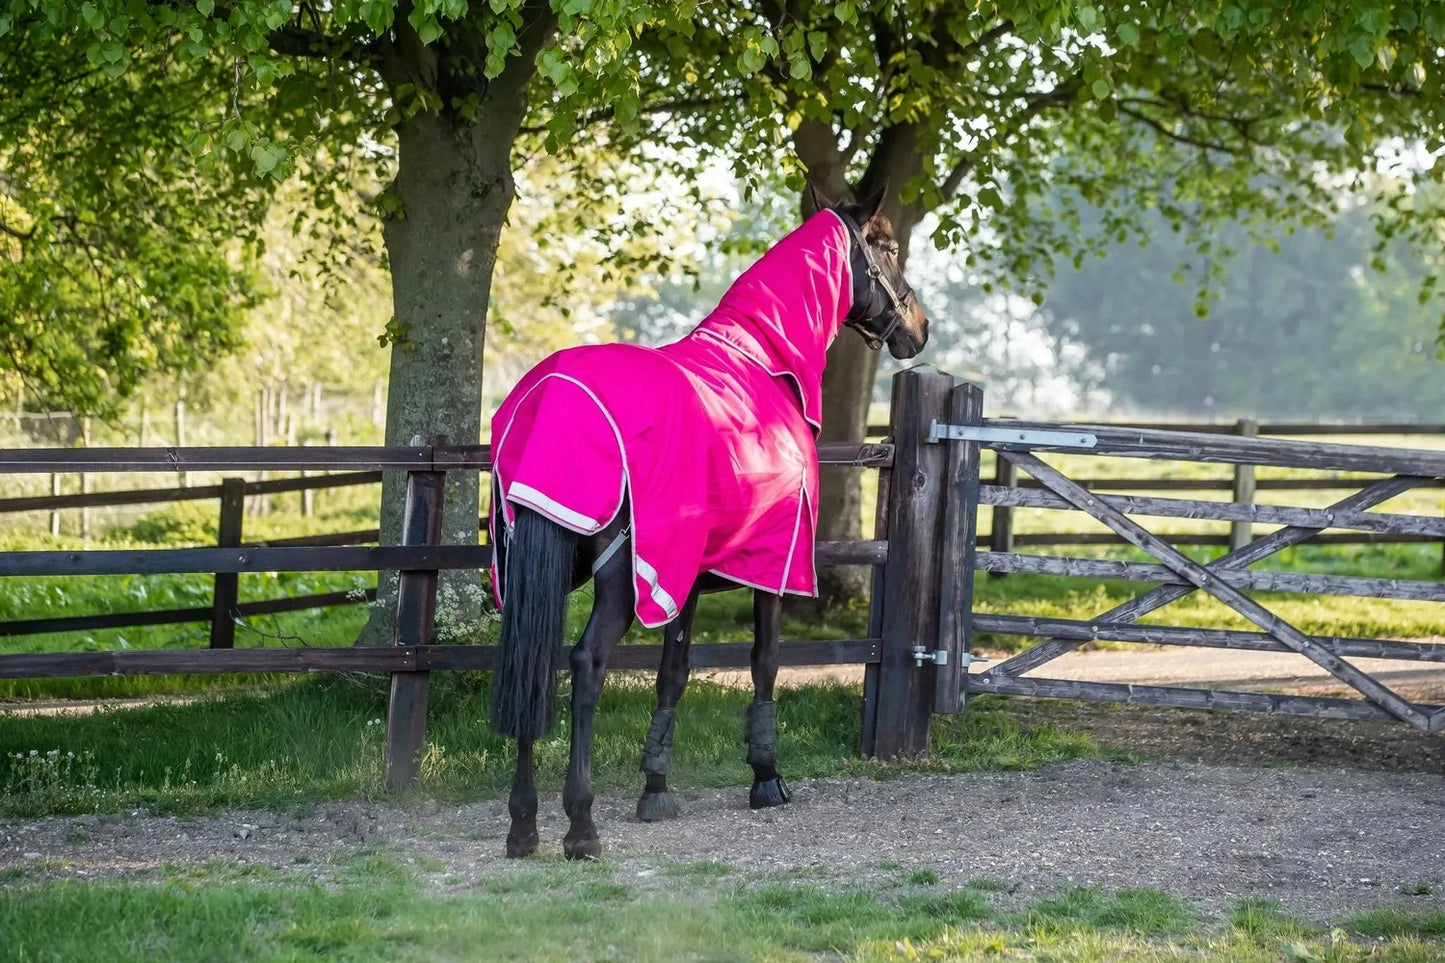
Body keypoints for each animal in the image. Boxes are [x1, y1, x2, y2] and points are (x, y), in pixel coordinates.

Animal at [487, 188, 931, 860]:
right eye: (888, 247)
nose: (919, 327)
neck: (764, 366)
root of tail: (551, 394)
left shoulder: (683, 576)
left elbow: (673, 673)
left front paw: (655, 787)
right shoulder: (773, 567)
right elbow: (765, 660)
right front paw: (767, 777)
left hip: (532, 566)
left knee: (528, 663)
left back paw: (523, 825)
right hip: (619, 576)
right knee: (586, 663)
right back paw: (580, 826)